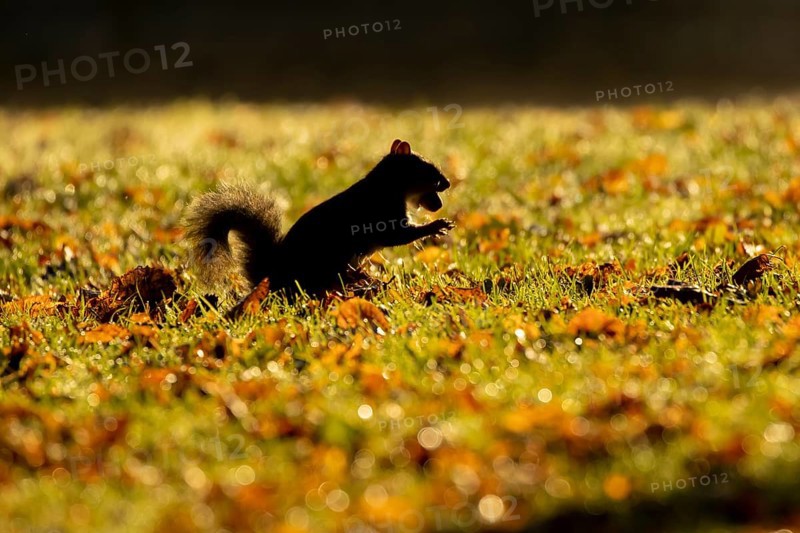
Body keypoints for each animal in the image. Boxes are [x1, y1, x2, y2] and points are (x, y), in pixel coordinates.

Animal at [182, 139, 455, 297]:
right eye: (428, 169)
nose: (448, 183)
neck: (386, 185)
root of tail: (274, 276)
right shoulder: (384, 216)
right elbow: (397, 236)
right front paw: (436, 226)